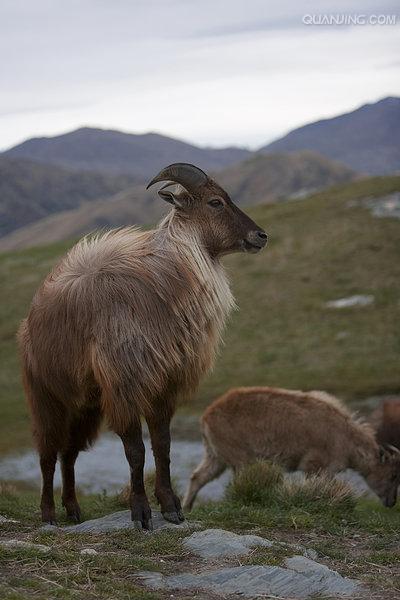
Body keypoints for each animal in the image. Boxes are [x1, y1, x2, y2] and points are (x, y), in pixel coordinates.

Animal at [19, 162, 268, 528]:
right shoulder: (125, 387)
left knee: (69, 453)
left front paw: (171, 507)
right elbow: (135, 451)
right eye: (215, 202)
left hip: (86, 405)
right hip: (47, 396)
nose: (261, 236)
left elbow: (162, 446)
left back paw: (74, 510)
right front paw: (141, 512)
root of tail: (29, 321)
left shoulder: (163, 386)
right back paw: (49, 513)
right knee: (48, 453)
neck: (161, 286)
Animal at [184, 386, 400, 508]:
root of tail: (207, 416)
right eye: (393, 475)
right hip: (238, 456)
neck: (345, 437)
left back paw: (187, 508)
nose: (391, 503)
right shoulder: (315, 465)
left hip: (216, 456)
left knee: (198, 476)